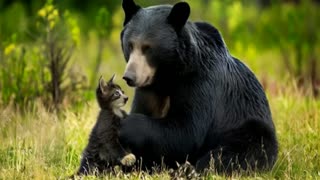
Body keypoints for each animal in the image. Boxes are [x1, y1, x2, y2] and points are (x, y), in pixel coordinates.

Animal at [119, 0, 278, 174]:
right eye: (130, 45)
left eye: (148, 48)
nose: (129, 76)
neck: (167, 75)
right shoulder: (149, 90)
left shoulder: (200, 82)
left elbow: (186, 131)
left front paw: (125, 124)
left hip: (248, 125)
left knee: (240, 151)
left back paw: (191, 169)